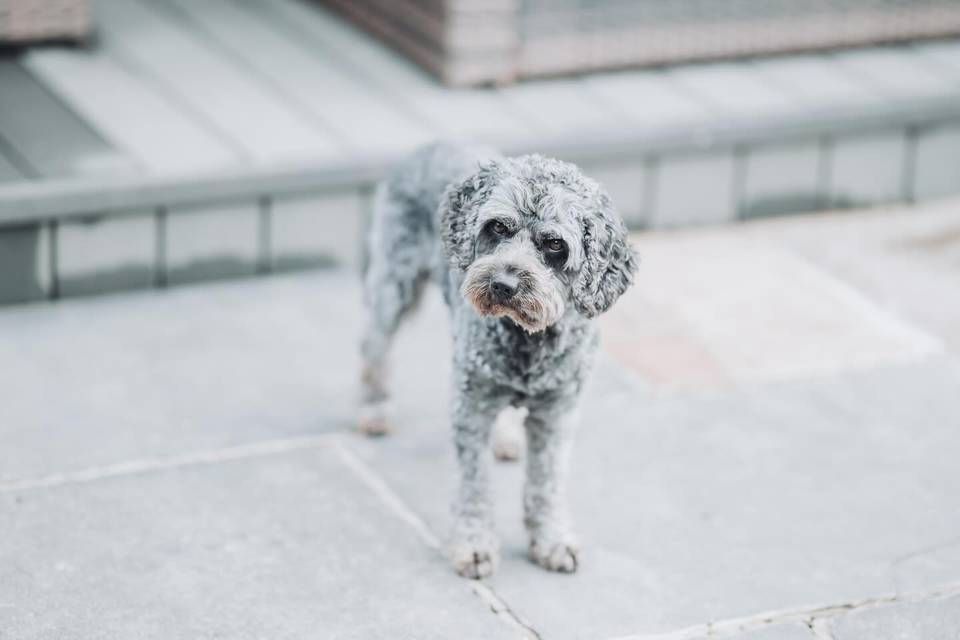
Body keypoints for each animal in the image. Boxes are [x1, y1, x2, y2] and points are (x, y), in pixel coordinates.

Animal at [360, 142, 636, 576]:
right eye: (497, 227)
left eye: (554, 244)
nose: (503, 284)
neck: (527, 339)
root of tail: (430, 144)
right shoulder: (470, 407)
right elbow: (474, 484)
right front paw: (474, 545)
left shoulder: (558, 414)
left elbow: (546, 482)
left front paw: (552, 539)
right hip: (392, 285)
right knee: (374, 350)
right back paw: (374, 410)